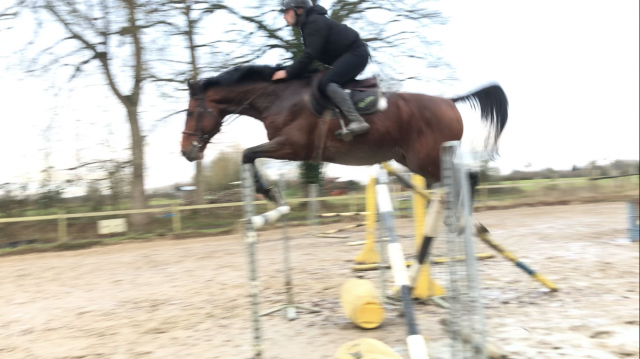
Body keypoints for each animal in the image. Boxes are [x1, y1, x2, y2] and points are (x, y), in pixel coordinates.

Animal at [181, 65, 510, 204]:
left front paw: (269, 192)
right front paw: (268, 192)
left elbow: (248, 153)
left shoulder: (291, 146)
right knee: (460, 180)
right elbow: (248, 156)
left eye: (190, 112)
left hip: (427, 159)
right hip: (415, 161)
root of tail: (449, 102)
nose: (186, 151)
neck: (277, 98)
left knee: (468, 179)